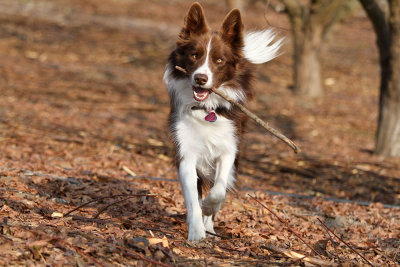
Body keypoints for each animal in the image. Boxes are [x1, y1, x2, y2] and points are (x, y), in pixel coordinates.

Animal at [164, 1, 282, 241]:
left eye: (219, 60)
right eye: (194, 55)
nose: (201, 78)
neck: (206, 109)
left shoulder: (229, 149)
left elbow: (218, 190)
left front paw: (209, 210)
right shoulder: (186, 153)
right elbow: (193, 198)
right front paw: (196, 231)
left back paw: (210, 224)